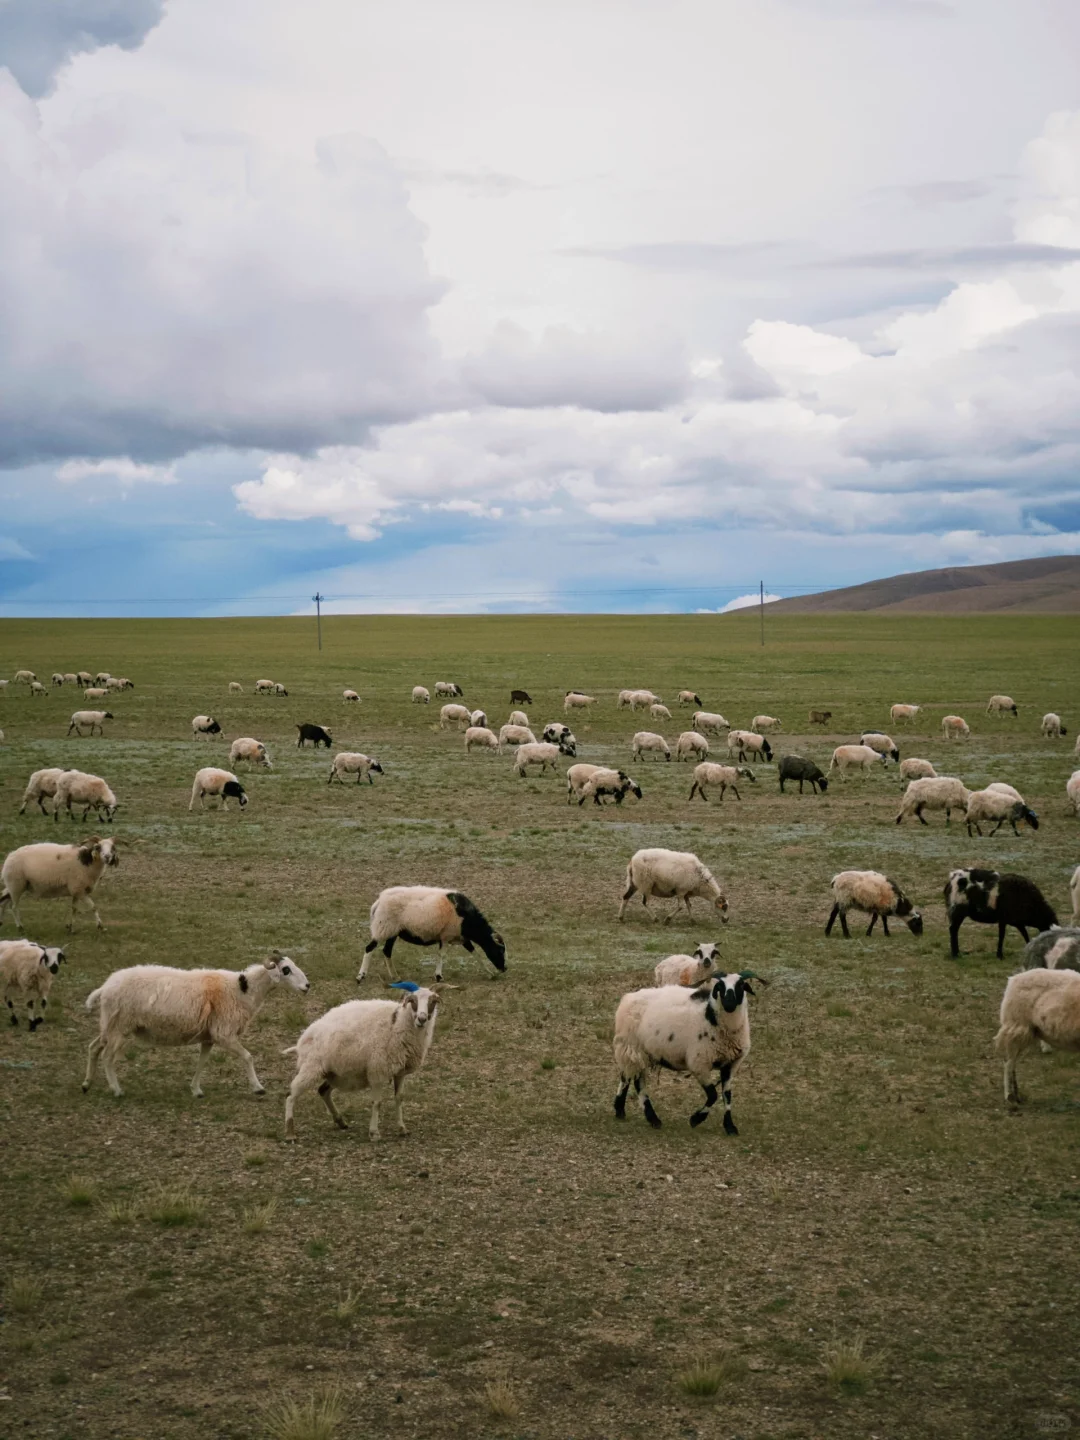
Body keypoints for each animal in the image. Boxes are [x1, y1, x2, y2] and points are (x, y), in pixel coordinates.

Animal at [84, 950, 308, 1094]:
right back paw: (116, 1089)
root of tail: (105, 988)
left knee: (94, 1047)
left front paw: (196, 1089)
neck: (243, 990)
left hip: (110, 1025)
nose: (308, 986)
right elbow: (248, 1057)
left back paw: (87, 1084)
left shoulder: (208, 1037)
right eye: (286, 970)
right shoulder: (223, 1033)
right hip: (120, 1027)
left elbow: (202, 1062)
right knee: (107, 1057)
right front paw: (258, 1088)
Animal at [288, 984, 443, 1140]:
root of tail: (303, 1037)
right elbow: (377, 1103)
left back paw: (340, 1121)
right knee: (291, 1096)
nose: (422, 1019)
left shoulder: (400, 1072)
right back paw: (290, 1133)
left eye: (433, 1002)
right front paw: (374, 1133)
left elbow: (399, 1098)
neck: (398, 1023)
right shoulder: (377, 1071)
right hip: (311, 1068)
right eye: (412, 1001)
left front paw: (402, 1128)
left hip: (334, 1074)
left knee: (323, 1091)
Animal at [355, 881, 506, 984]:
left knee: (386, 951)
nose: (504, 969)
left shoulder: (461, 937)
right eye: (500, 950)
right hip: (383, 927)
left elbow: (475, 954)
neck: (468, 919)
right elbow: (442, 955)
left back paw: (396, 977)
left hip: (392, 932)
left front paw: (489, 973)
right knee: (369, 948)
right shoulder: (446, 936)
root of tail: (378, 902)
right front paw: (439, 976)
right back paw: (361, 976)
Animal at [613, 967, 766, 1134]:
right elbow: (713, 1095)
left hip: (641, 1052)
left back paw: (632, 1114)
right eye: (720, 987)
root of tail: (628, 997)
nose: (729, 1004)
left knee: (630, 1077)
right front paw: (696, 1119)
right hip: (632, 1047)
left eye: (741, 986)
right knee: (632, 1080)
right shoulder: (699, 1063)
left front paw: (730, 1126)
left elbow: (727, 1095)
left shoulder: (731, 1064)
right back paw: (640, 1115)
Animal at [996, 967, 1080, 1100]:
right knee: (1008, 1063)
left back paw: (1016, 1094)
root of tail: (1014, 979)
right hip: (1017, 1026)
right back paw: (1009, 1095)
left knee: (1011, 1062)